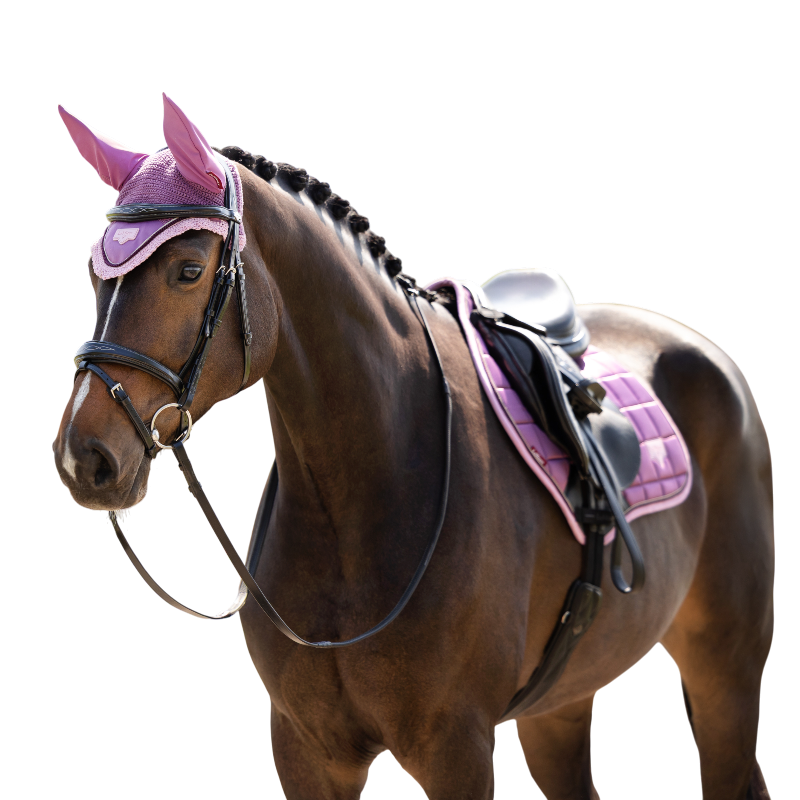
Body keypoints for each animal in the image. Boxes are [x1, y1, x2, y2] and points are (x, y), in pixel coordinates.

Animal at [52, 100, 773, 800]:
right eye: (93, 270)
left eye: (189, 270)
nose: (84, 457)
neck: (364, 487)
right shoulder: (307, 752)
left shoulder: (456, 750)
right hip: (562, 701)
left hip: (724, 674)